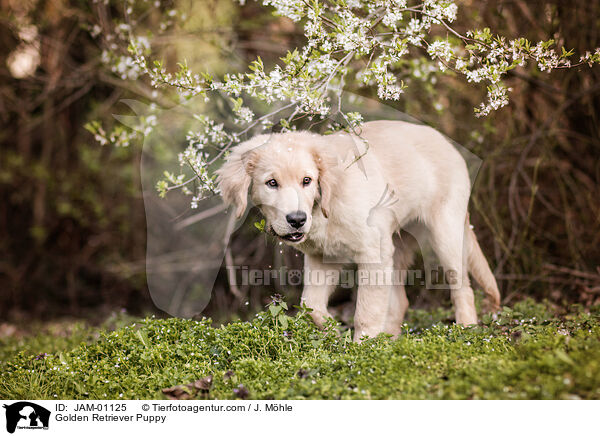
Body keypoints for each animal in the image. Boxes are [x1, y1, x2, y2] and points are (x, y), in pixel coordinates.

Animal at [218, 119, 500, 340]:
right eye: (271, 183)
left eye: (307, 181)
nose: (297, 220)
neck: (325, 204)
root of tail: (447, 142)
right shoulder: (323, 257)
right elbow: (311, 305)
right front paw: (334, 333)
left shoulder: (373, 253)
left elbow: (366, 311)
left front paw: (361, 348)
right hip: (395, 246)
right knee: (400, 301)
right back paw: (389, 342)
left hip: (445, 233)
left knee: (463, 289)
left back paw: (465, 330)